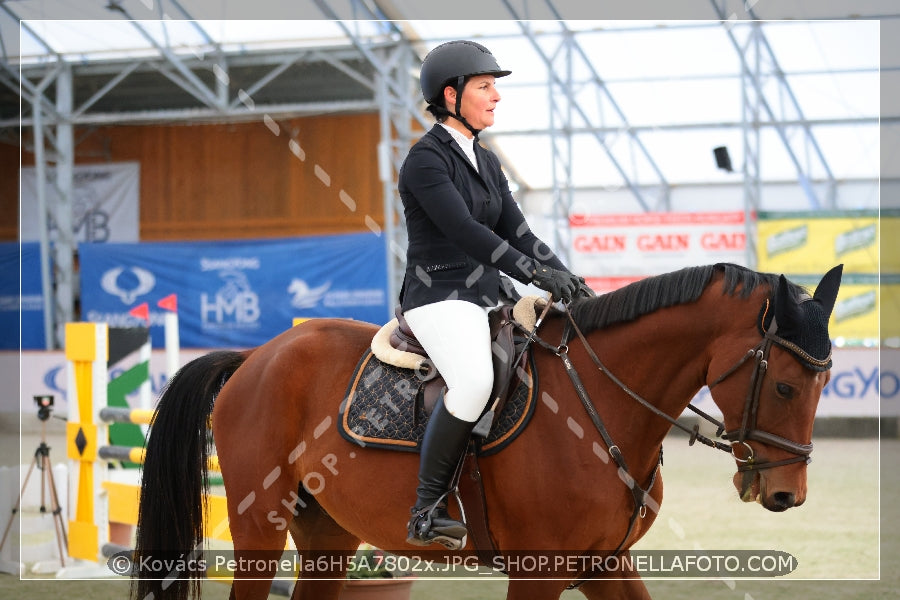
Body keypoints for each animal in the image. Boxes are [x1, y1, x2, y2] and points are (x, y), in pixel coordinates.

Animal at [132, 264, 844, 600]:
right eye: (785, 385)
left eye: (824, 382)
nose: (786, 493)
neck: (601, 405)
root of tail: (254, 357)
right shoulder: (538, 571)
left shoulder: (604, 562)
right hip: (259, 527)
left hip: (327, 536)